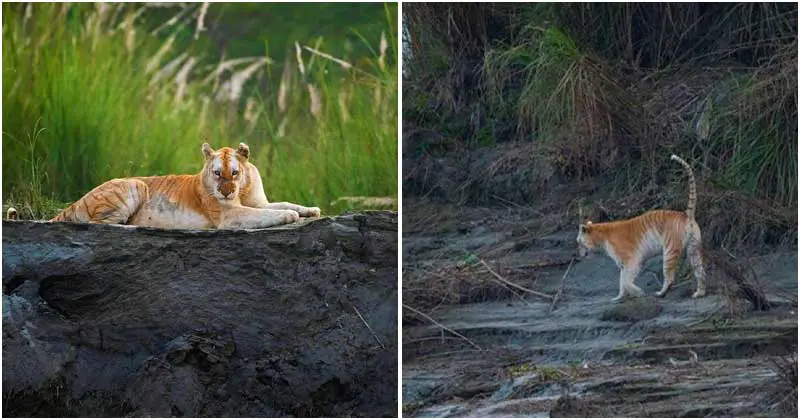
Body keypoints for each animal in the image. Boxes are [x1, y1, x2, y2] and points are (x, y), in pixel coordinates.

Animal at [7, 144, 318, 230]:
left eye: (235, 172)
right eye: (217, 174)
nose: (226, 191)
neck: (242, 190)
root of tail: (75, 202)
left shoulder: (258, 202)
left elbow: (283, 203)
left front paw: (310, 210)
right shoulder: (229, 215)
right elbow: (266, 214)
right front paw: (289, 216)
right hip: (132, 185)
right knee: (100, 224)